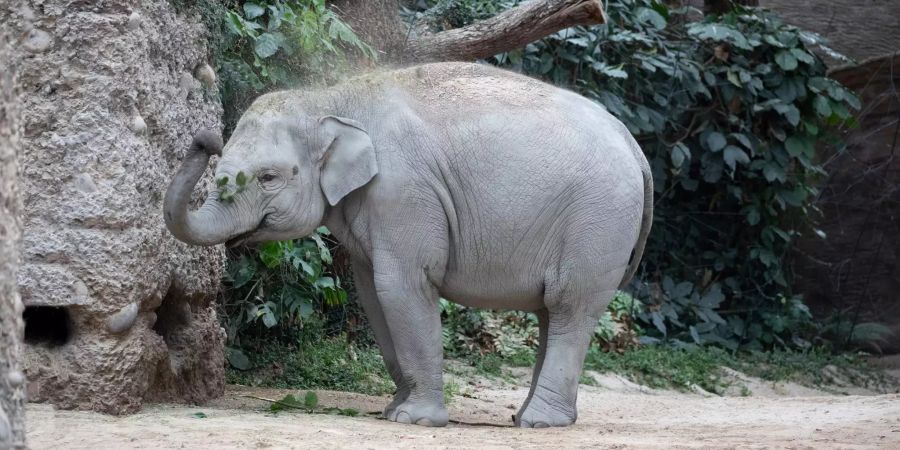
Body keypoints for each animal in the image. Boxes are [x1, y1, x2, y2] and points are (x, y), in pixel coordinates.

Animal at [165, 61, 652, 428]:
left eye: (268, 177)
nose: (205, 138)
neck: (331, 99)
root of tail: (634, 145)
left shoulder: (404, 193)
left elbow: (402, 286)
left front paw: (414, 420)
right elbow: (373, 294)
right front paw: (393, 410)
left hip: (598, 222)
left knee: (570, 306)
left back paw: (539, 423)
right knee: (553, 312)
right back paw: (527, 418)